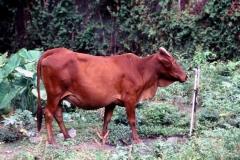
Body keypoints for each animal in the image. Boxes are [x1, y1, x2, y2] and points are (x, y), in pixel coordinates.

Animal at [37, 47, 188, 144]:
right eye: (172, 61)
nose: (186, 76)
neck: (140, 68)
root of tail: (56, 50)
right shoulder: (130, 99)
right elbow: (132, 120)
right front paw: (137, 139)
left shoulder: (111, 102)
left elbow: (107, 119)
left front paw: (103, 137)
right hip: (54, 94)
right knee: (48, 113)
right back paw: (52, 140)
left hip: (60, 97)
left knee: (58, 115)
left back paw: (67, 136)